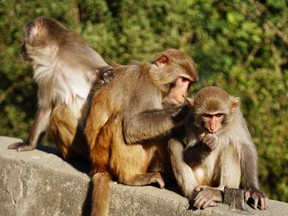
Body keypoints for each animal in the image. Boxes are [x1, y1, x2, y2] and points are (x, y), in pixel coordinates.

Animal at [7, 16, 112, 159]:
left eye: (25, 35)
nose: (22, 48)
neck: (55, 55)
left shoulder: (75, 48)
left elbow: (100, 70)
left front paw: (104, 74)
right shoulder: (45, 74)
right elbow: (46, 108)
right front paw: (29, 144)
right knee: (59, 111)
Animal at [85, 49, 198, 216]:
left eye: (189, 82)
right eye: (183, 80)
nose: (184, 94)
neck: (155, 79)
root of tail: (97, 167)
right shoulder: (143, 86)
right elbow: (133, 126)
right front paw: (185, 110)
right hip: (102, 152)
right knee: (120, 122)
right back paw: (131, 177)